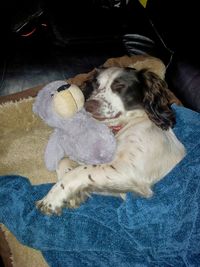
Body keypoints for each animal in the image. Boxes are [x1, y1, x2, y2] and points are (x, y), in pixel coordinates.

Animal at [36, 66, 186, 216]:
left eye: (119, 86)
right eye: (96, 85)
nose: (89, 105)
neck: (128, 123)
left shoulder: (128, 172)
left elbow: (80, 172)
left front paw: (52, 198)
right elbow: (63, 161)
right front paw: (72, 196)